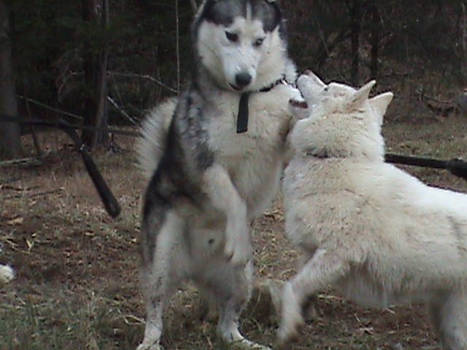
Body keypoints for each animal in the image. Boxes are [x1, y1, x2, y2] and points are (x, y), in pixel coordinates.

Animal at [280, 72, 466, 350]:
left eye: (326, 88)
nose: (306, 72)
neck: (336, 157)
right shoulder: (311, 252)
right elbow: (300, 285)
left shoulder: (335, 256)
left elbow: (291, 288)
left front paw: (286, 330)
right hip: (446, 321)